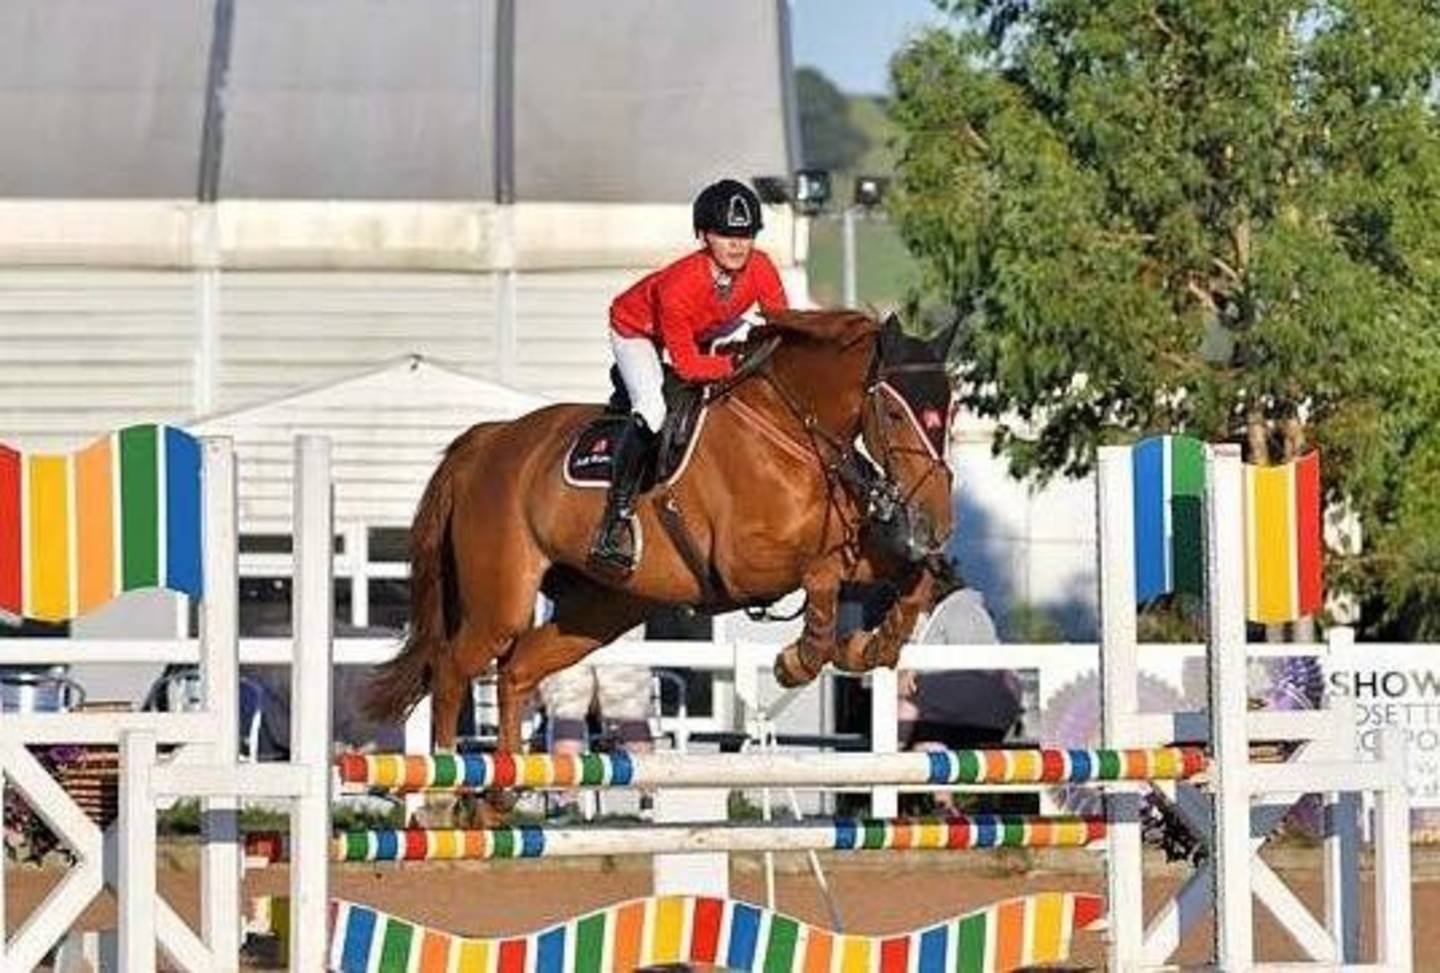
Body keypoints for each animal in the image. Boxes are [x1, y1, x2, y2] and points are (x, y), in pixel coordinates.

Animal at [365, 312, 961, 759]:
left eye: (951, 411)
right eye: (894, 412)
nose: (936, 523)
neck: (790, 432)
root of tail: (486, 443)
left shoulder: (854, 549)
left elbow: (913, 576)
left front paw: (874, 645)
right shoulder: (744, 566)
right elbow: (821, 574)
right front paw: (800, 658)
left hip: (600, 610)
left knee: (516, 670)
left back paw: (499, 794)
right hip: (501, 602)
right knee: (451, 669)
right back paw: (446, 791)